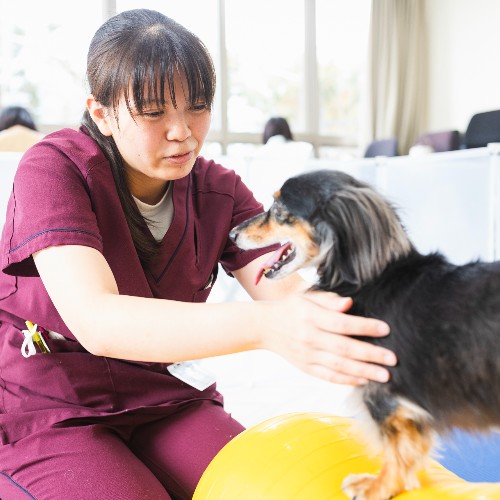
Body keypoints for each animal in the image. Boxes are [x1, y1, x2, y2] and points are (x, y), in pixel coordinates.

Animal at [229, 169, 500, 500]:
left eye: (279, 209)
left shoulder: (383, 393)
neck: (370, 278)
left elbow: (398, 447)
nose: (232, 235)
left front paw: (379, 486)